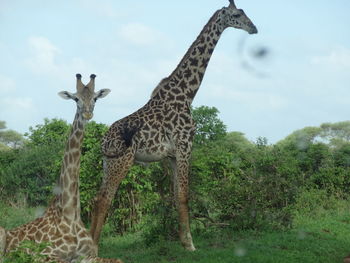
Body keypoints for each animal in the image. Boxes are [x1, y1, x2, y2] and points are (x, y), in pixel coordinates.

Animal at [0, 75, 123, 263]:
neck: (70, 214)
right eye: (76, 98)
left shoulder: (89, 255)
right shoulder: (44, 255)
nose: (87, 113)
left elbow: (118, 259)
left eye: (95, 98)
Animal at [90, 0, 258, 252]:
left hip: (108, 163)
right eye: (238, 14)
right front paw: (190, 244)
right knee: (103, 200)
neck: (187, 94)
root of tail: (103, 141)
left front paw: (183, 241)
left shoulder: (170, 156)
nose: (253, 28)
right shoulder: (185, 145)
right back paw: (93, 248)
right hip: (122, 161)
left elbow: (176, 196)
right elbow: (184, 195)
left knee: (95, 198)